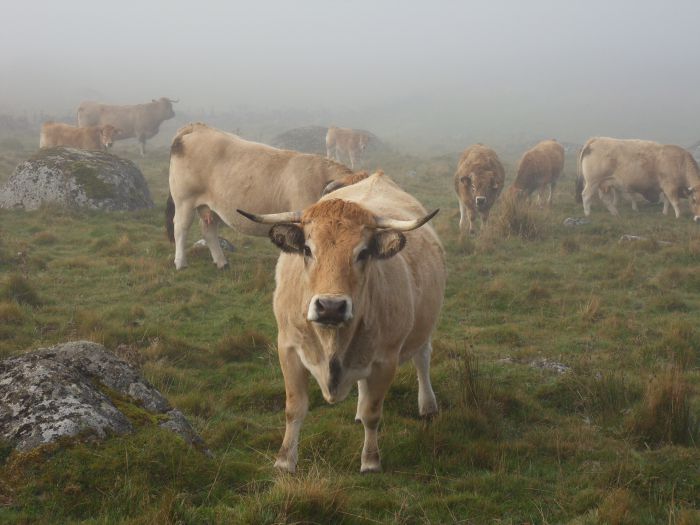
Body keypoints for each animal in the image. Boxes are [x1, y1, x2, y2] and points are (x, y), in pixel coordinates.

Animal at [165, 123, 356, 270]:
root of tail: (196, 127)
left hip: (212, 207)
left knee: (208, 230)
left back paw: (222, 263)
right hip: (184, 201)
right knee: (180, 228)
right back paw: (181, 263)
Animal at [238, 171, 446, 470]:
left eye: (363, 253)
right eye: (307, 249)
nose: (331, 307)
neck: (332, 340)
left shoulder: (386, 360)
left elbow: (374, 412)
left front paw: (370, 461)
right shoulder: (287, 348)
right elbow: (294, 408)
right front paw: (285, 460)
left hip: (423, 327)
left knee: (423, 359)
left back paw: (427, 405)